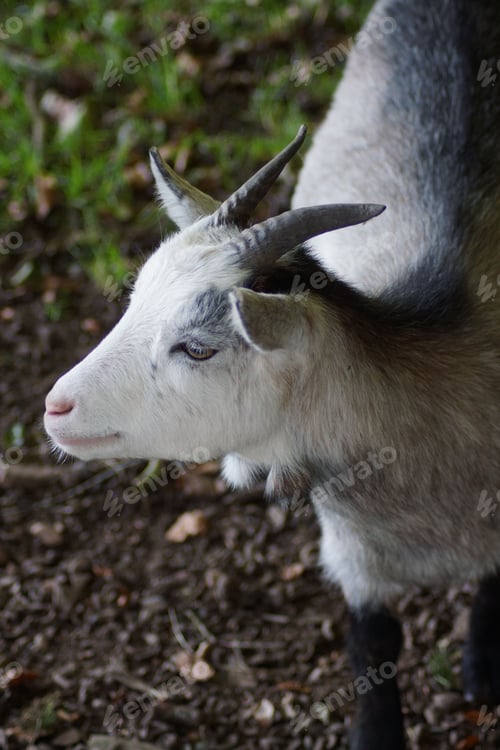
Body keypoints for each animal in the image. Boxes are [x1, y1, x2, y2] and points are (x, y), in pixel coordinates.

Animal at [45, 0, 500, 747]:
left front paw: (483, 670)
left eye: (200, 348)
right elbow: (372, 645)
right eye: (135, 299)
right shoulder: (355, 556)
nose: (57, 407)